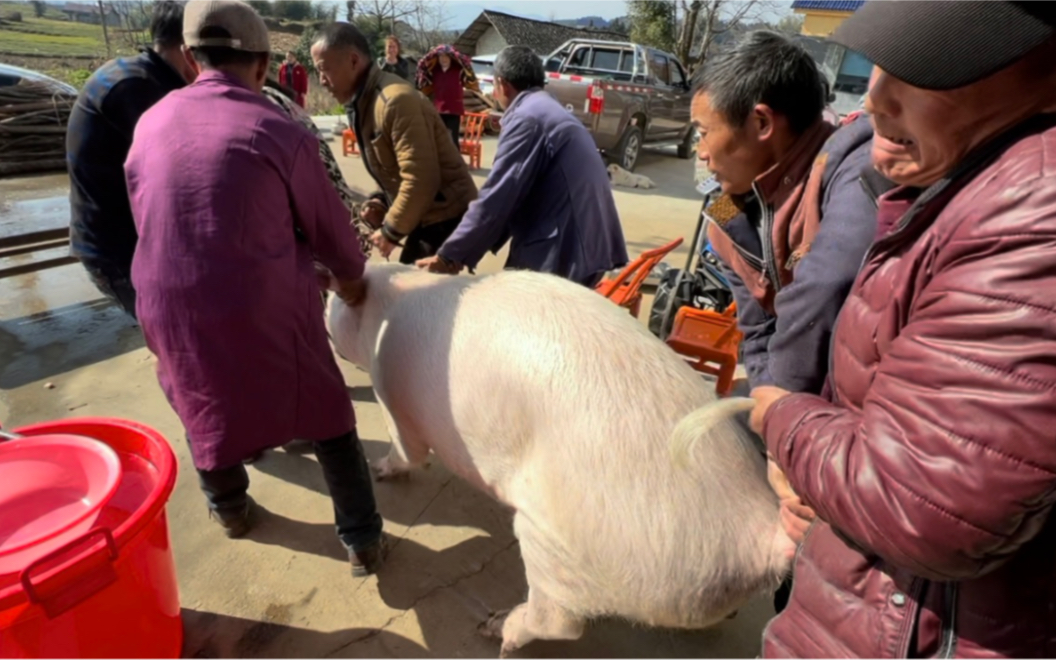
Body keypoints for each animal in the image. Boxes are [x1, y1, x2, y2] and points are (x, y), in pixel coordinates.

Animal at [327, 262, 794, 654]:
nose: (325, 292)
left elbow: (407, 449)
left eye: (333, 305)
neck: (387, 308)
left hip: (564, 542)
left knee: (561, 622)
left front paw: (380, 470)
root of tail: (762, 530)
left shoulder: (390, 390)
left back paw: (495, 631)